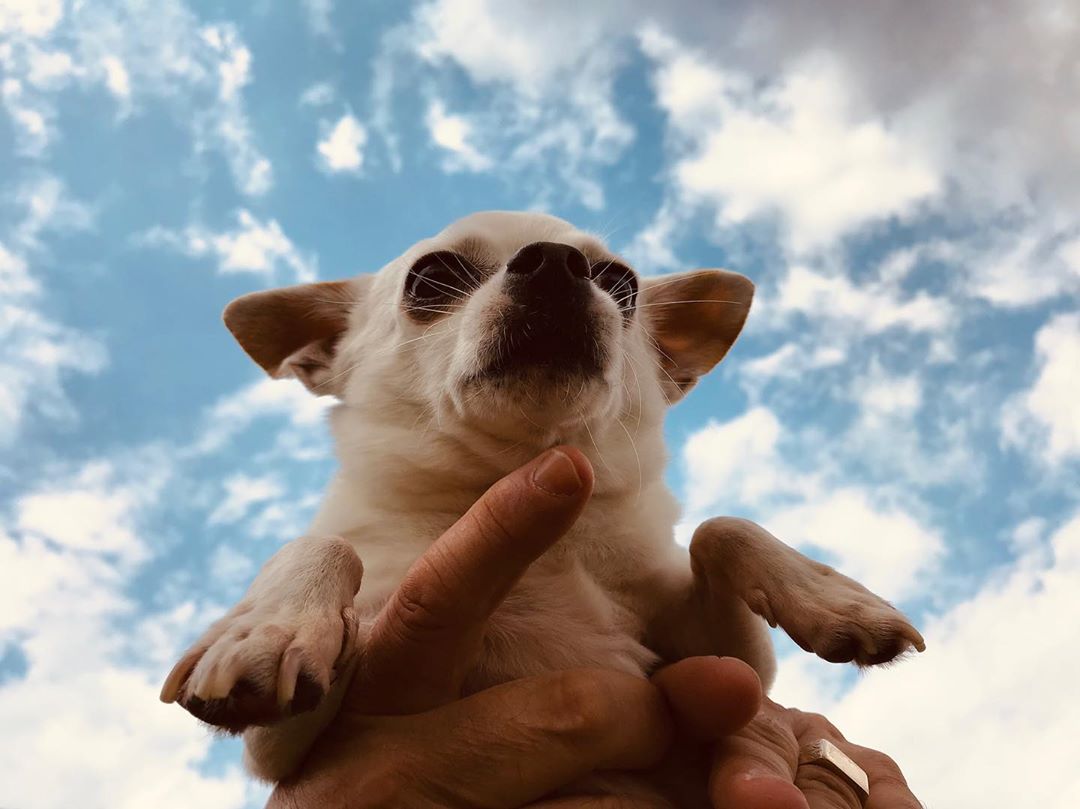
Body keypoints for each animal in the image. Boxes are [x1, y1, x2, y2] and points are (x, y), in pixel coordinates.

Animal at [164, 211, 924, 799]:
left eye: (622, 284)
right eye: (430, 279)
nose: (556, 263)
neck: (511, 480)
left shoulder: (726, 664)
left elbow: (719, 529)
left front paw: (838, 599)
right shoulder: (287, 745)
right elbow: (324, 545)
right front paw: (268, 628)